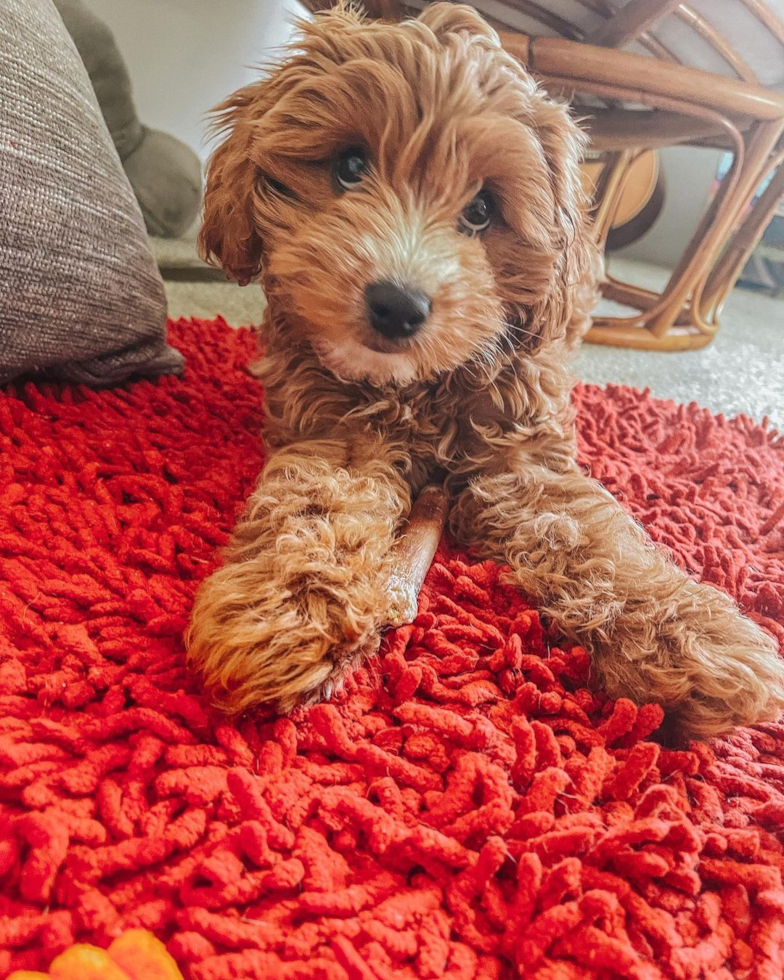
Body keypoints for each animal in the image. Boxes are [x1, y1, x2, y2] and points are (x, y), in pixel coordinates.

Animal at [188, 0, 784, 736]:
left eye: (481, 210)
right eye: (350, 166)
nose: (397, 304)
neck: (419, 385)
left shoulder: (523, 456)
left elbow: (590, 533)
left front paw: (691, 637)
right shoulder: (333, 430)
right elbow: (313, 501)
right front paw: (289, 608)